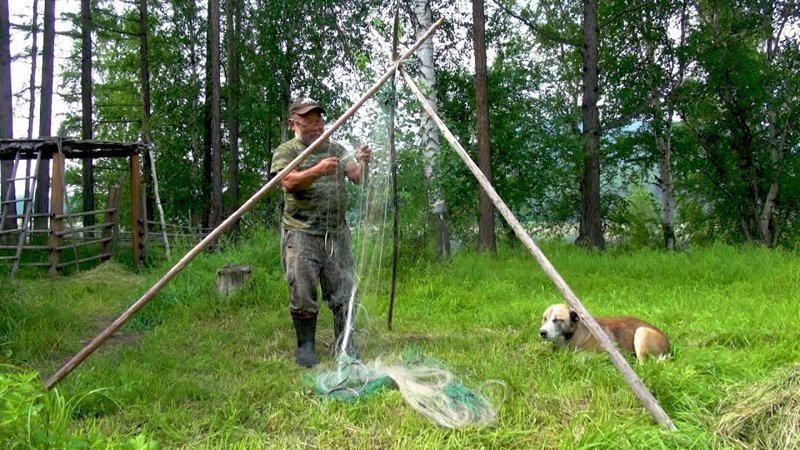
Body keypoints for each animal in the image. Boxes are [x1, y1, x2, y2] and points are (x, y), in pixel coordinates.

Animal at [540, 302, 672, 362]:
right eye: (544, 318)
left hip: (641, 332)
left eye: (557, 320)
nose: (542, 332)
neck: (576, 332)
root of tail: (669, 347)